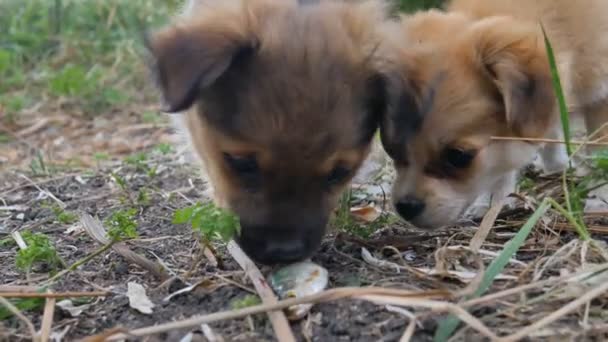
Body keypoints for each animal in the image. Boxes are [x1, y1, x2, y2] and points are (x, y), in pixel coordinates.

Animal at [380, 0, 608, 230]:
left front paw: (600, 196)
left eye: (458, 156)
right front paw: (492, 203)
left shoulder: (601, 96)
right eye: (391, 150)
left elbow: (599, 151)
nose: (406, 207)